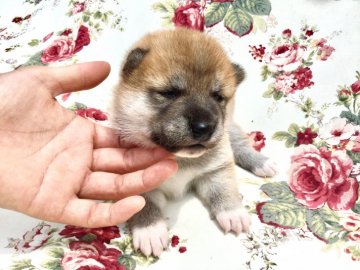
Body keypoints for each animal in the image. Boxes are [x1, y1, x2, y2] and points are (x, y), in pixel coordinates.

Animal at [111, 28, 278, 258]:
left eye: (218, 96)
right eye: (169, 93)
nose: (204, 127)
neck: (179, 159)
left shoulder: (216, 169)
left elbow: (224, 189)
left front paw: (233, 211)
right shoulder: (133, 178)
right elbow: (143, 203)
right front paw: (150, 230)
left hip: (229, 131)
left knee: (241, 144)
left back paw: (261, 162)